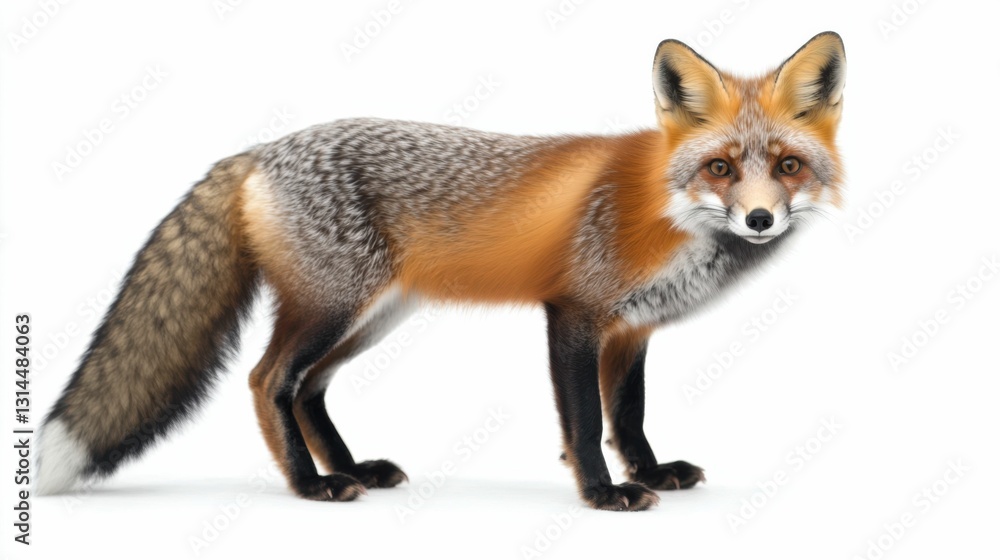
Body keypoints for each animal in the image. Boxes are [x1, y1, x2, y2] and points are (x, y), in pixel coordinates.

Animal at [36, 32, 845, 511]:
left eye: (787, 166)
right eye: (719, 168)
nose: (760, 220)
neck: (667, 212)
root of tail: (260, 149)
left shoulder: (632, 331)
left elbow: (630, 417)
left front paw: (646, 474)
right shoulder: (575, 314)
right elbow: (587, 422)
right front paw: (602, 492)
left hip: (370, 317)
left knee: (308, 388)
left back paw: (352, 469)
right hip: (332, 306)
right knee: (269, 381)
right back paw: (311, 484)